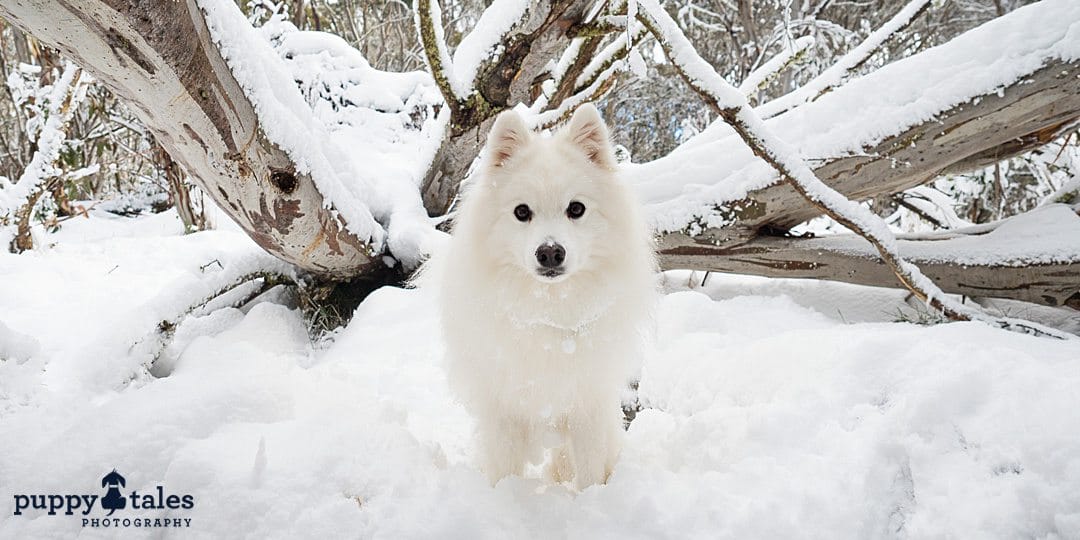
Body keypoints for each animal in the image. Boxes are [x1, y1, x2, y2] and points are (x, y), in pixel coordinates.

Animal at [432, 104, 652, 490]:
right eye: (522, 212)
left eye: (576, 209)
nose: (550, 252)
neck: (549, 307)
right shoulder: (503, 408)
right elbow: (505, 472)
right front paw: (504, 497)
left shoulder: (588, 405)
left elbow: (590, 473)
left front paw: (592, 499)